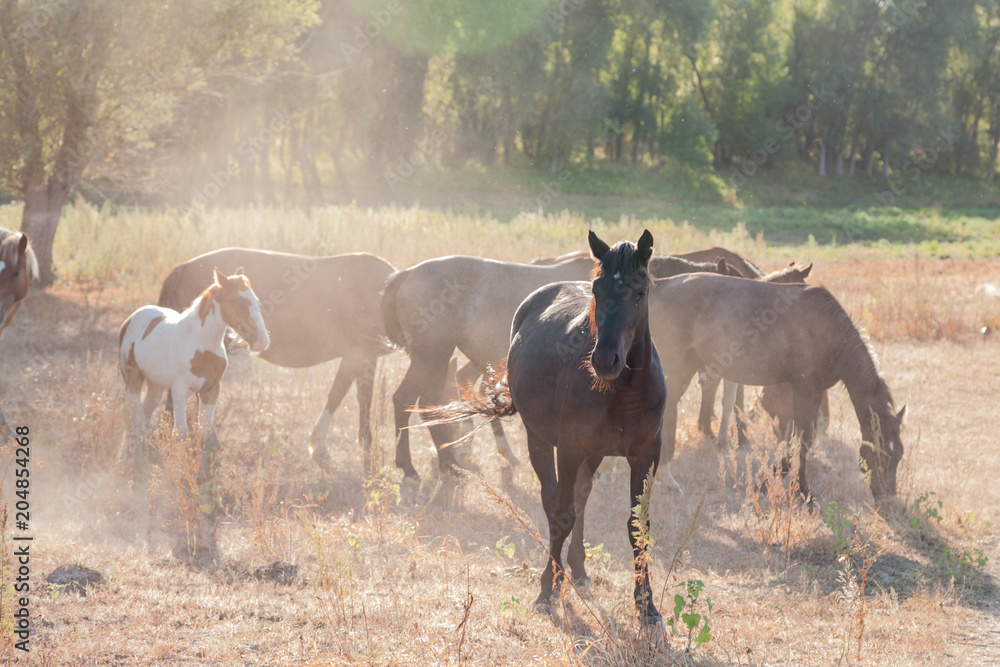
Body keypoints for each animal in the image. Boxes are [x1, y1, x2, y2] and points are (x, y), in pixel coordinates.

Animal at [119, 268, 270, 479]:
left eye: (256, 300)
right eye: (239, 302)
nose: (262, 341)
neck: (201, 345)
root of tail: (133, 317)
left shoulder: (211, 390)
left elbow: (204, 433)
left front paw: (201, 477)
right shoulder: (180, 390)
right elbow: (181, 434)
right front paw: (179, 478)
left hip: (155, 387)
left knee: (144, 418)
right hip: (132, 380)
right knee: (137, 420)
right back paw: (138, 469)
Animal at [158, 249, 395, 471]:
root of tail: (182, 268)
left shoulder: (362, 357)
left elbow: (352, 396)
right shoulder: (360, 354)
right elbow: (342, 397)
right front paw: (326, 447)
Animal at [382, 251, 731, 480]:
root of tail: (407, 273)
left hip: (437, 357)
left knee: (430, 403)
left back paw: (450, 461)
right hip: (432, 355)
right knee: (405, 399)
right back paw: (412, 467)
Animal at [426, 230, 668, 625]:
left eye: (640, 292)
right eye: (597, 290)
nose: (605, 360)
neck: (623, 391)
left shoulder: (646, 455)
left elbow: (638, 527)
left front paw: (647, 607)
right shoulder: (569, 450)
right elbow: (561, 516)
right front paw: (547, 589)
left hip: (593, 454)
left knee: (581, 500)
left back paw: (580, 570)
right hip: (539, 440)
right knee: (554, 501)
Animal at [648, 273, 905, 499]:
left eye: (899, 454)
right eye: (879, 452)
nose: (887, 496)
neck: (828, 329)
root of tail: (660, 284)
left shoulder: (816, 391)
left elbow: (806, 438)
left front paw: (779, 483)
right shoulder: (802, 386)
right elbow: (802, 437)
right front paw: (793, 488)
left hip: (687, 364)